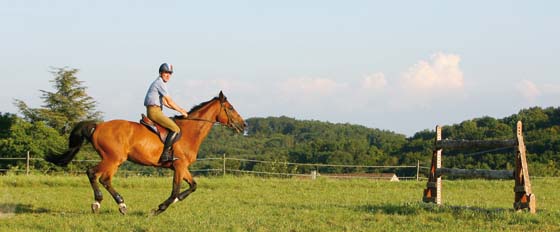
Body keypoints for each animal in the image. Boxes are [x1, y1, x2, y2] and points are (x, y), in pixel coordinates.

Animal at [43, 91, 245, 215]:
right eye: (231, 108)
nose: (243, 125)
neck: (189, 132)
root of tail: (97, 126)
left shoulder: (182, 167)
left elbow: (193, 185)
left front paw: (176, 200)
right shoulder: (179, 166)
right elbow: (175, 189)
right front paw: (159, 208)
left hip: (113, 160)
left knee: (104, 179)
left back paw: (119, 205)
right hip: (113, 158)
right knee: (93, 173)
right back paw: (100, 203)